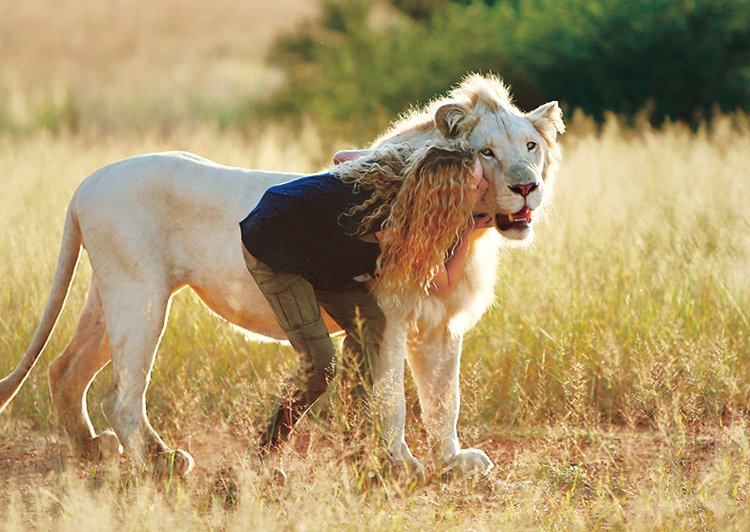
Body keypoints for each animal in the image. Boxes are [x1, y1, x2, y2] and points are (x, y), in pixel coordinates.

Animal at [0, 72, 564, 476]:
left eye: (530, 147)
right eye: (487, 152)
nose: (526, 187)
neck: (464, 229)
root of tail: (86, 183)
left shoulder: (441, 326)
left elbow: (445, 400)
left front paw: (452, 462)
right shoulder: (388, 317)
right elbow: (393, 399)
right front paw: (401, 464)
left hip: (110, 293)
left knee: (65, 369)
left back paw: (90, 451)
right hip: (140, 297)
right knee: (120, 394)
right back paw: (162, 463)